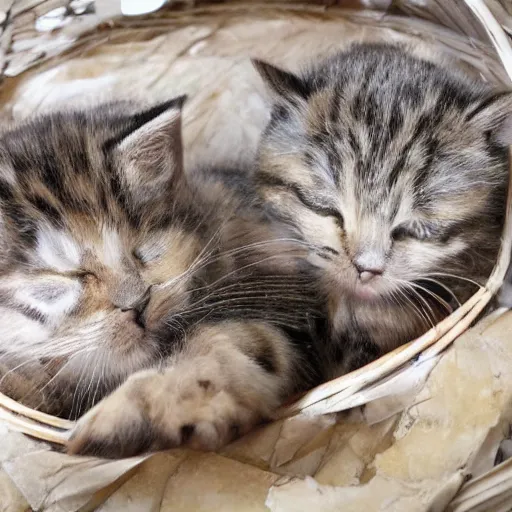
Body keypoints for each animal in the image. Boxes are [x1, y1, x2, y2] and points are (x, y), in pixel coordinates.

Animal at [0, 96, 322, 456]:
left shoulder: (285, 300)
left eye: (145, 250)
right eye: (60, 282)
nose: (138, 304)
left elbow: (223, 340)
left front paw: (140, 409)